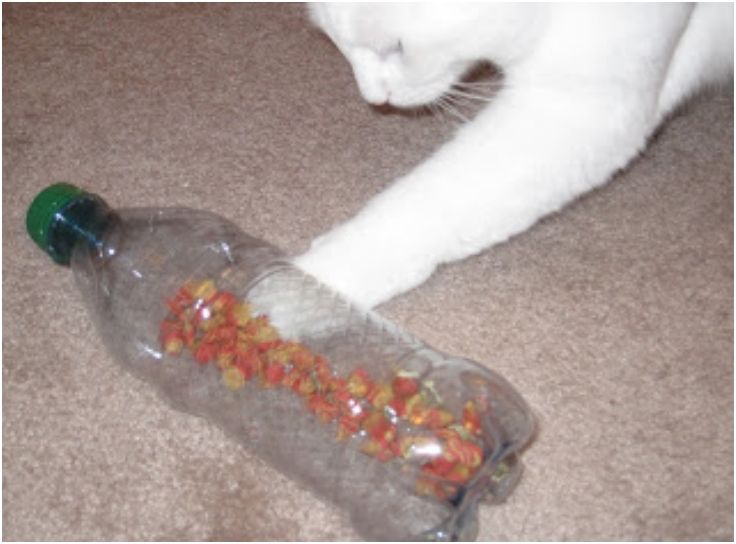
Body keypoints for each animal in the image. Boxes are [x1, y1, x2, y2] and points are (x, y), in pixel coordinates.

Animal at [292, 3, 732, 310]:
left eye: (396, 48)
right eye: (338, 45)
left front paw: (308, 285)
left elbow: (423, 208)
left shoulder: (583, 106)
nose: (373, 98)